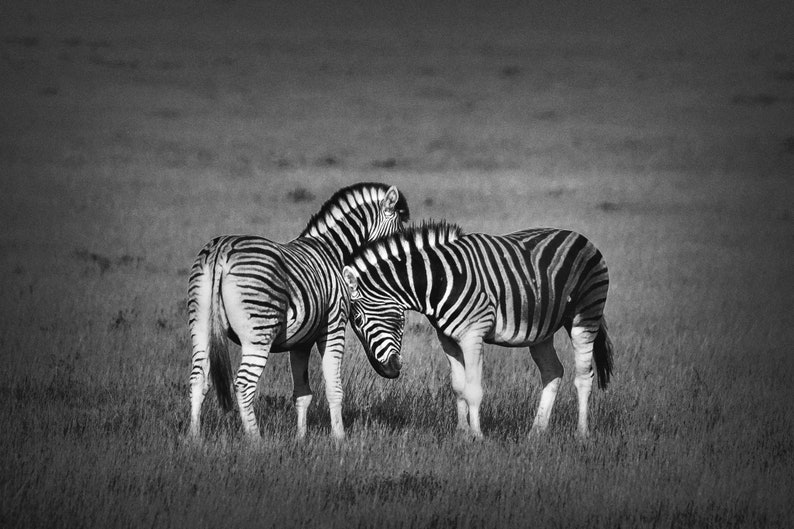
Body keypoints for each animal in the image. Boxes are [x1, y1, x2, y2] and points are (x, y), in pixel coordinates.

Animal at [187, 183, 410, 442]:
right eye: (396, 234)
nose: (394, 369)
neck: (332, 250)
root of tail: (221, 249)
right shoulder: (333, 327)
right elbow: (334, 387)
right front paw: (340, 438)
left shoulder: (300, 341)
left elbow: (302, 393)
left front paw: (301, 439)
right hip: (258, 332)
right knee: (243, 385)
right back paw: (256, 441)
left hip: (200, 326)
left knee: (197, 380)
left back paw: (194, 438)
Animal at [342, 220, 613, 438]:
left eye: (358, 320)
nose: (388, 371)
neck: (438, 280)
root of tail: (581, 237)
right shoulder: (447, 339)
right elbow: (458, 386)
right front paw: (462, 433)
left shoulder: (473, 335)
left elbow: (473, 389)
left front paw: (477, 436)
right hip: (541, 331)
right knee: (553, 371)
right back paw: (536, 433)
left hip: (585, 315)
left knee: (584, 377)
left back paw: (581, 434)